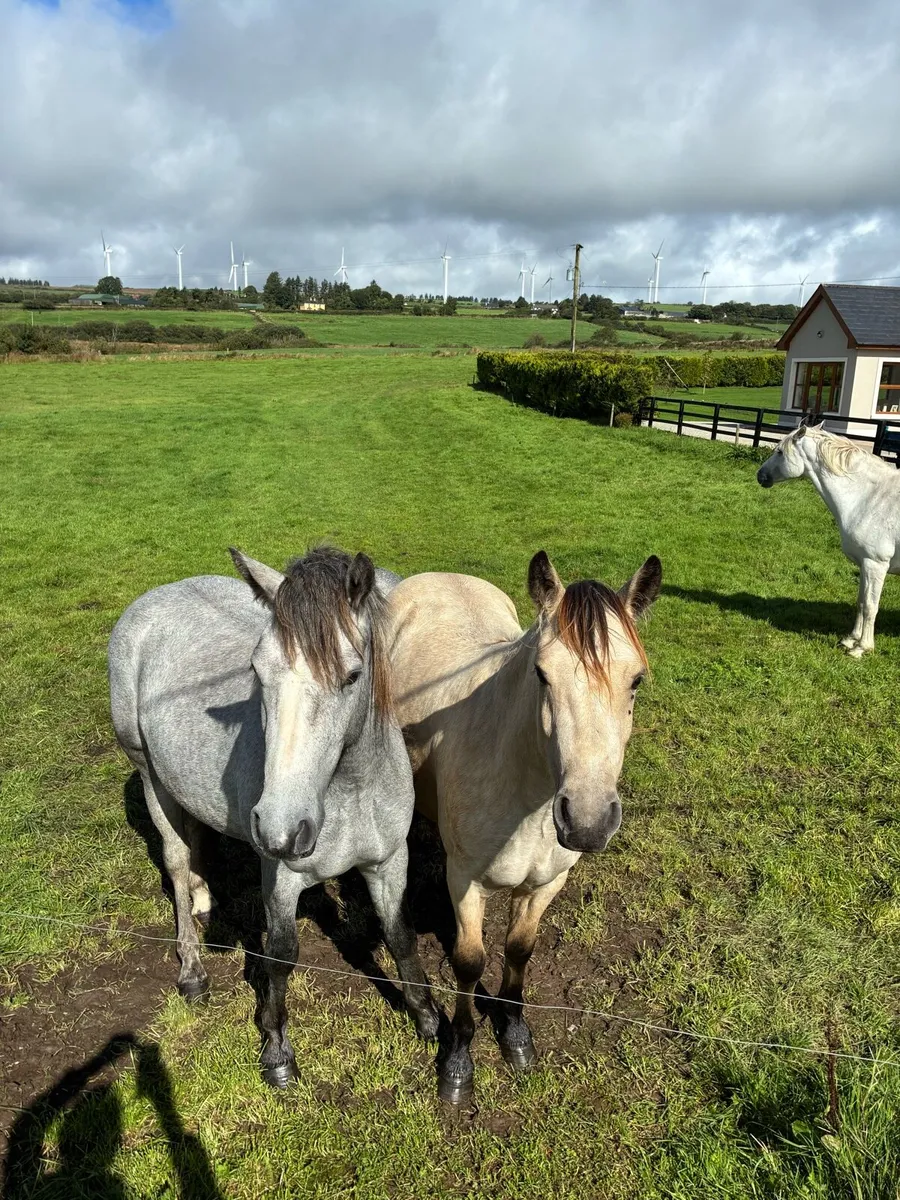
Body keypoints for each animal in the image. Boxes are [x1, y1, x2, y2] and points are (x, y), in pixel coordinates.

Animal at [108, 546, 439, 1087]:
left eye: (351, 675)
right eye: (257, 671)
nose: (281, 828)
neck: (350, 791)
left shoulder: (389, 862)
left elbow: (400, 935)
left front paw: (429, 1017)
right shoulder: (280, 879)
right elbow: (282, 955)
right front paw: (277, 1048)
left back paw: (204, 900)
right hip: (149, 774)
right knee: (176, 860)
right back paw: (192, 970)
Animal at [384, 550, 661, 1102]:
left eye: (636, 680)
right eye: (542, 674)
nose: (588, 821)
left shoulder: (547, 883)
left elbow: (519, 949)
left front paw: (514, 1034)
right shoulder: (465, 881)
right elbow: (469, 962)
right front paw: (458, 1060)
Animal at [757, 423, 900, 656]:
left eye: (779, 452)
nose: (760, 475)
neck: (871, 498)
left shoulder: (875, 564)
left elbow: (871, 606)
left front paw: (862, 648)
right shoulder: (864, 564)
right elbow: (861, 602)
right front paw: (850, 640)